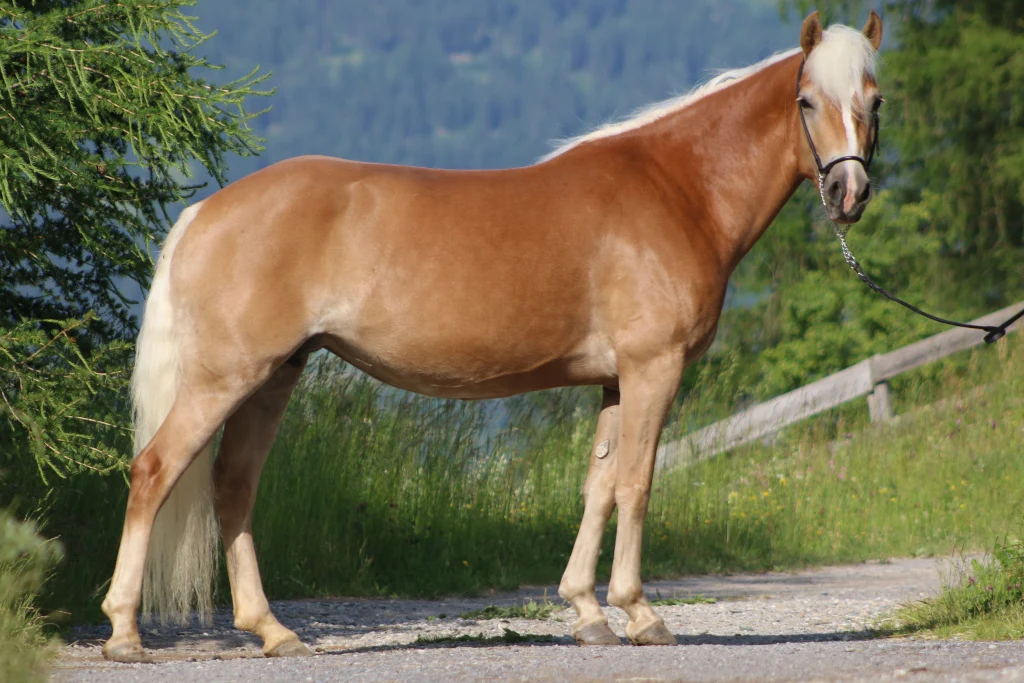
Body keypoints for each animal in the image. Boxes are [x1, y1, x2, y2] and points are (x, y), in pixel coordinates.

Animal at [100, 11, 884, 661]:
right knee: (154, 472)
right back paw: (125, 632)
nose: (848, 196)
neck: (675, 190)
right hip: (225, 378)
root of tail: (205, 212)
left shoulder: (615, 379)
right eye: (806, 101)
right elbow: (635, 483)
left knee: (233, 487)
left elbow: (598, 486)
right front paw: (640, 613)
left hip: (274, 375)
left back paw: (272, 630)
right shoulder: (652, 368)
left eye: (873, 101)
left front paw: (587, 612)